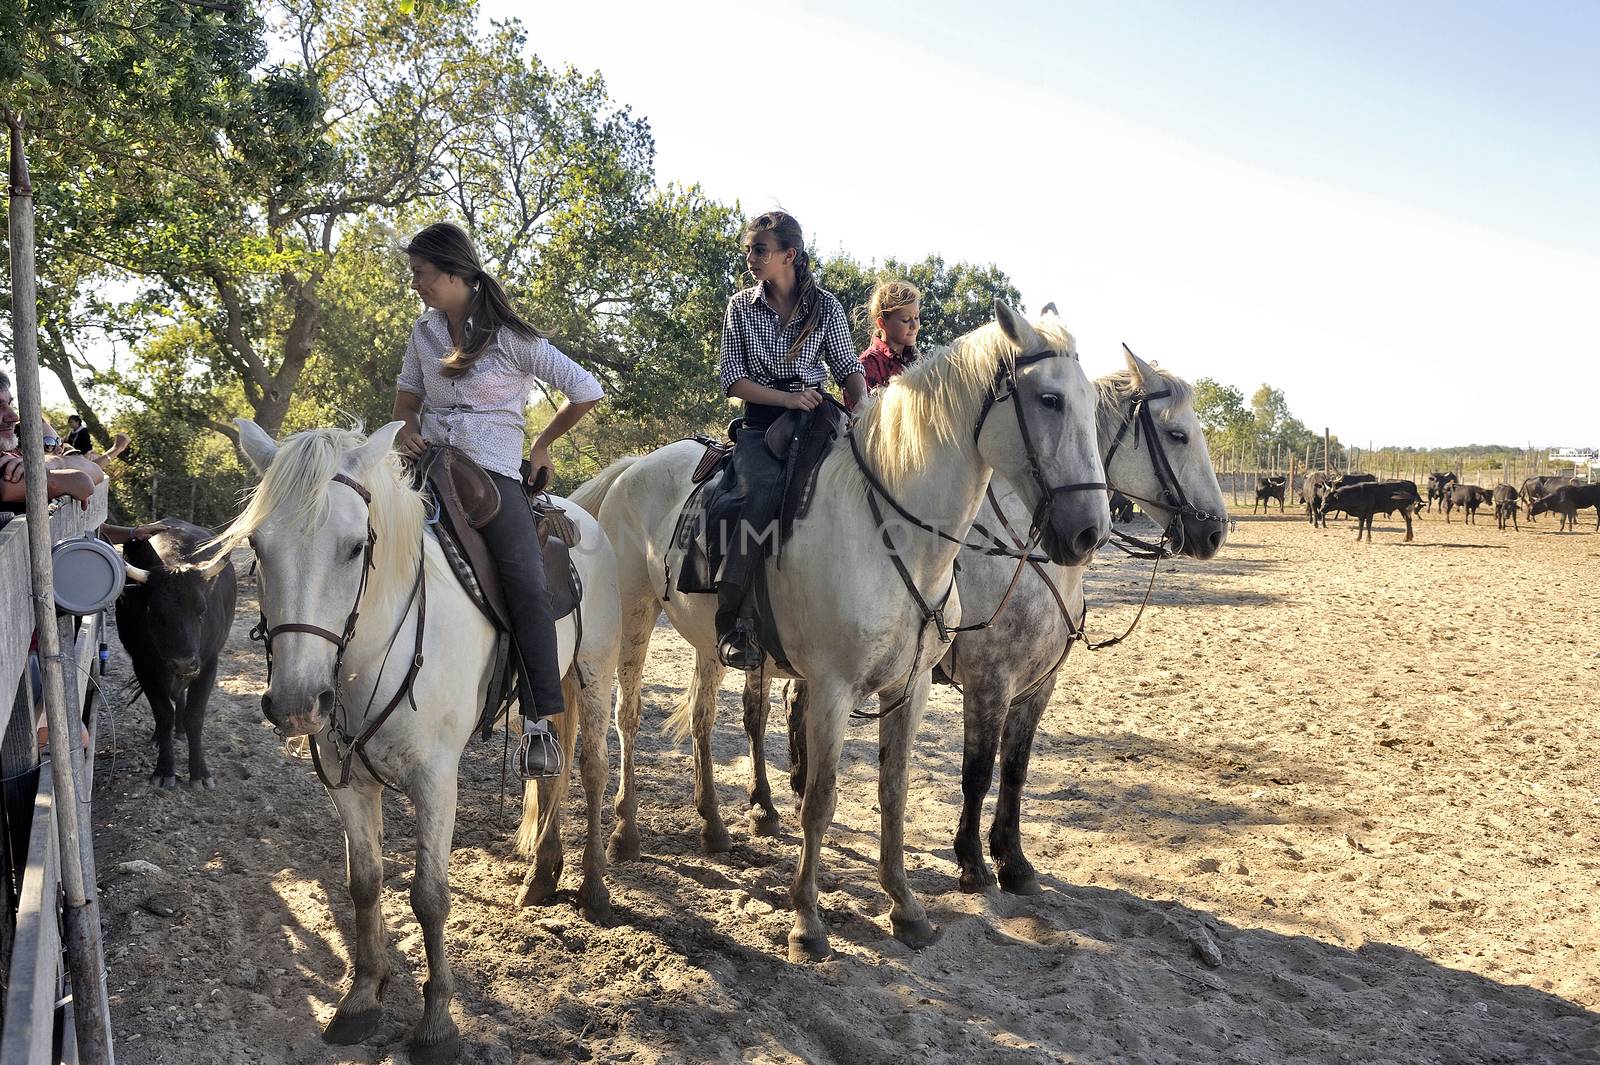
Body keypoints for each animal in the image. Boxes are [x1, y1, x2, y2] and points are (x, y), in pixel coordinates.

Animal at [222, 422, 620, 1061]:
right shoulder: (346, 782)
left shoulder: (436, 780)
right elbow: (364, 884)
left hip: (595, 669)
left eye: (355, 546)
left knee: (593, 768)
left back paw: (595, 888)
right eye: (258, 548)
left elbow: (430, 897)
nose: (297, 704)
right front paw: (362, 998)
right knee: (551, 770)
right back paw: (541, 878)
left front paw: (437, 1025)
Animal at [572, 300, 1113, 959]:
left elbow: (893, 792)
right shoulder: (833, 690)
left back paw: (714, 826)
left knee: (700, 719)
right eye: (1051, 400)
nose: (1088, 532)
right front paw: (807, 922)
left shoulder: (910, 689)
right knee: (627, 717)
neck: (896, 537)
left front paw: (904, 906)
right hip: (635, 613)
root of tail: (636, 467)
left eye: (1091, 403)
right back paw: (624, 832)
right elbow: (821, 801)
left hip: (709, 641)